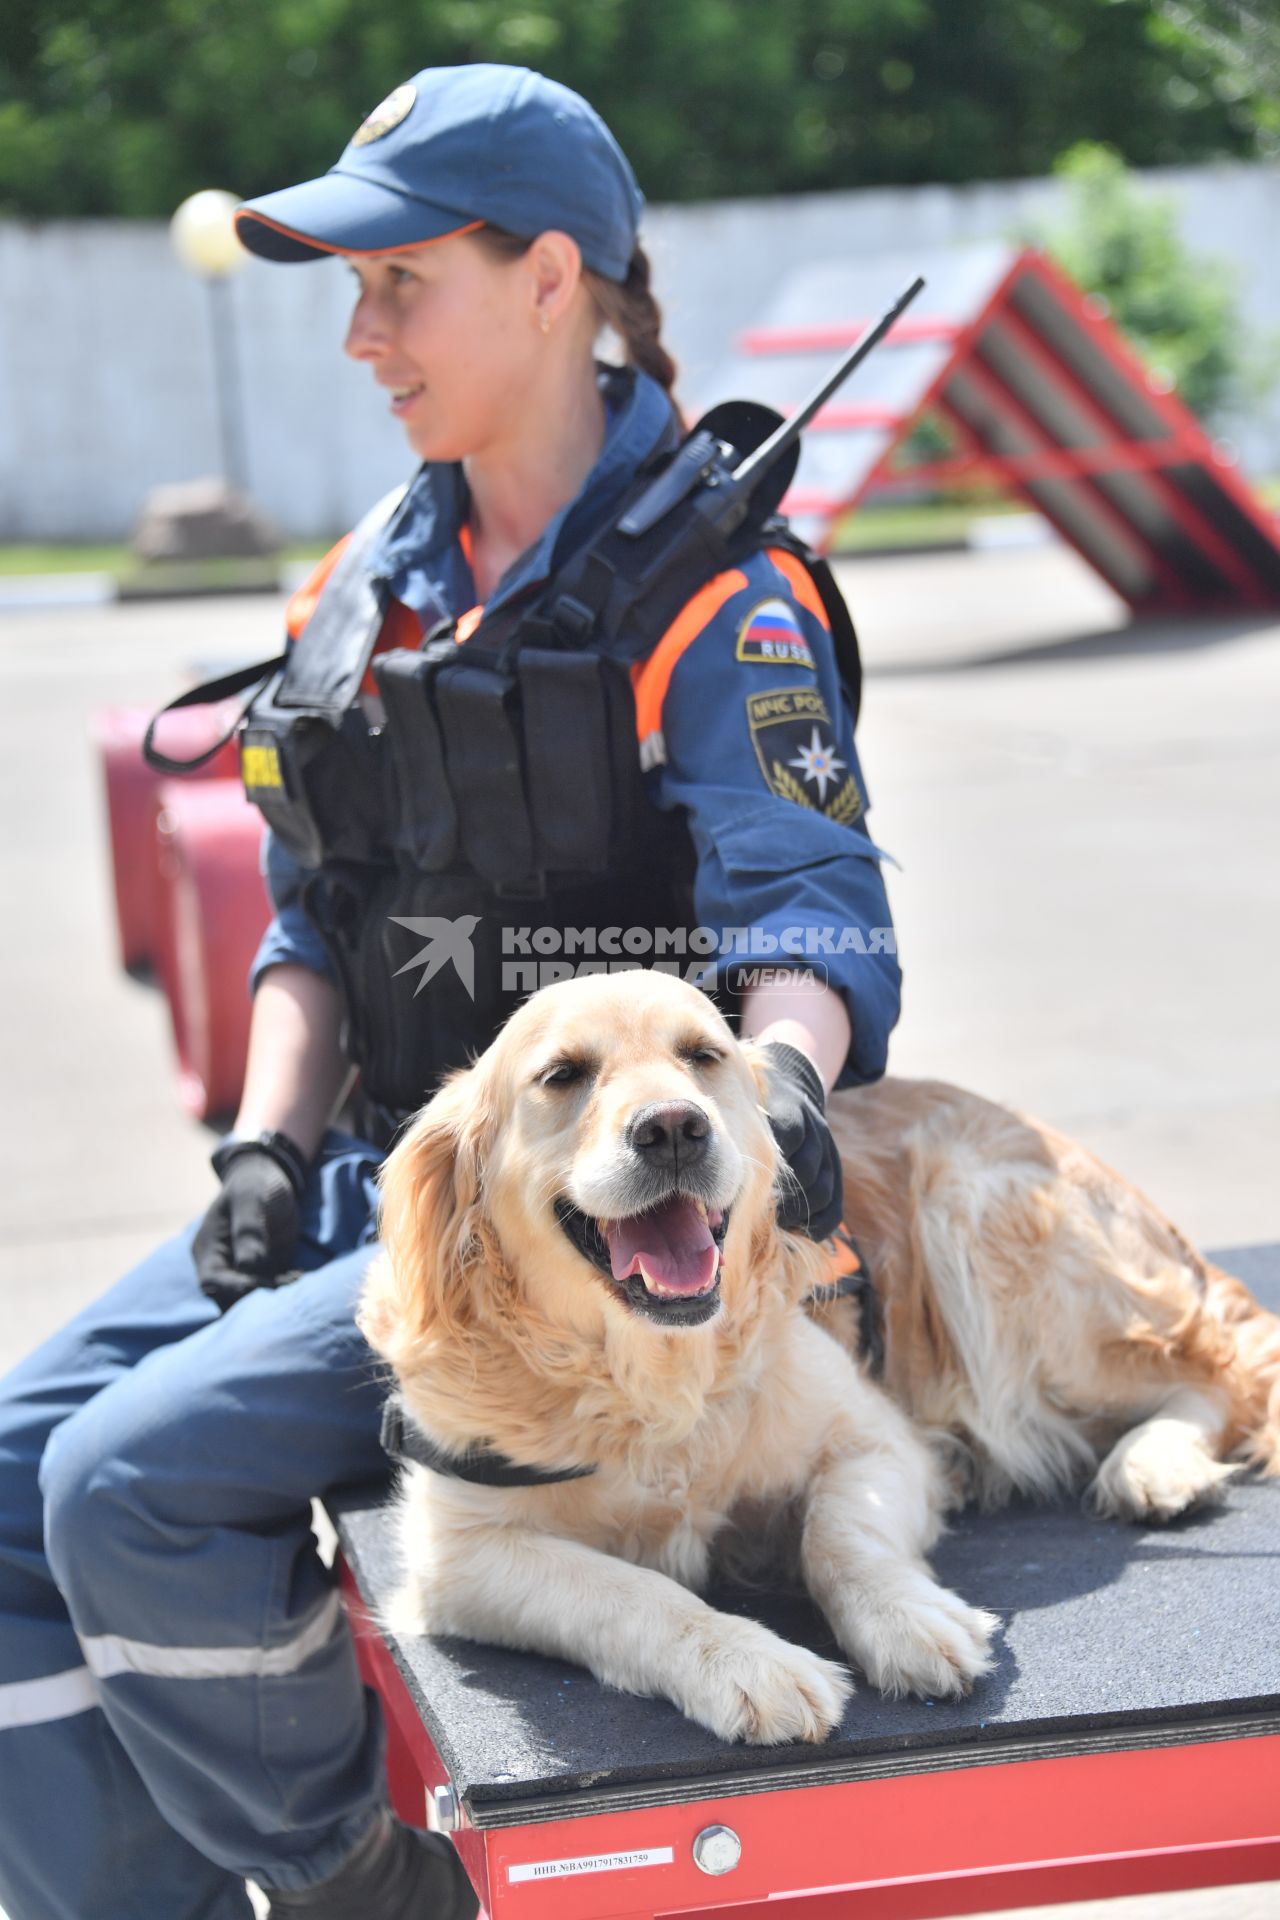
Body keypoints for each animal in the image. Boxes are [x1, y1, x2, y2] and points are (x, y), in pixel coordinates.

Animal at [355, 967, 1280, 1751]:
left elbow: (838, 1537)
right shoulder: (457, 1554)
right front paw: (748, 1661)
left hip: (978, 1224)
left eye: (703, 1057)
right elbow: (631, 1590)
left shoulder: (877, 1440)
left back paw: (1154, 1463)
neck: (655, 1370)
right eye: (563, 1075)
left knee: (1218, 1371)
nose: (674, 1128)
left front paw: (908, 1617)